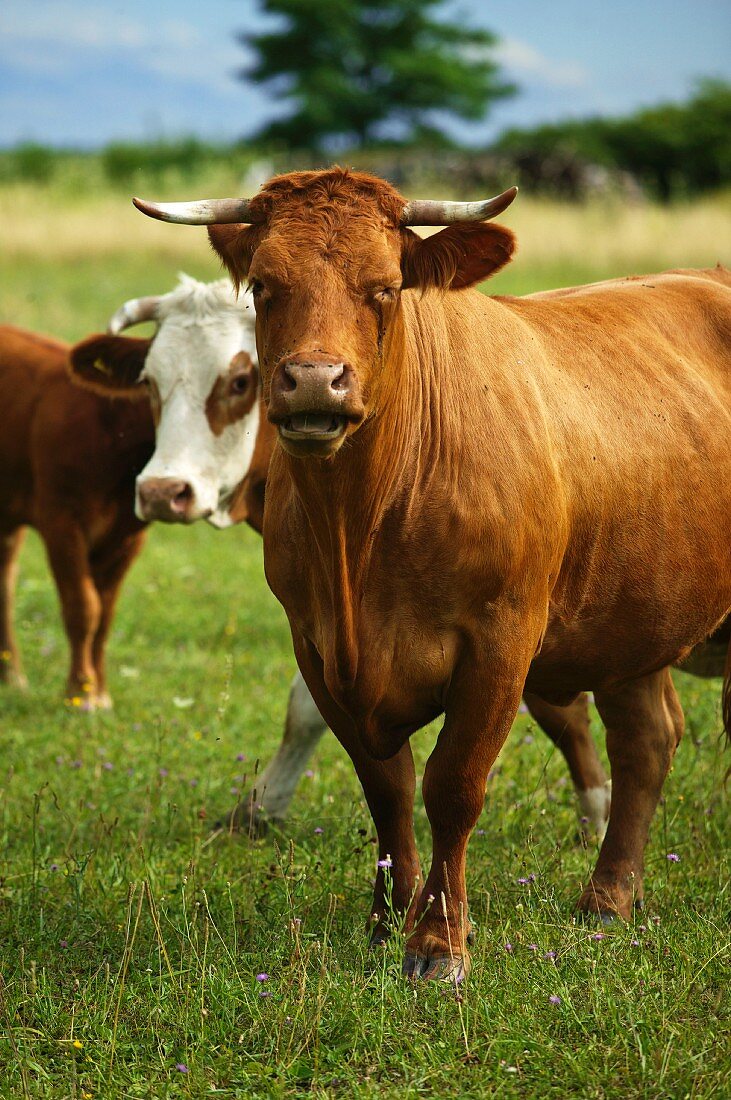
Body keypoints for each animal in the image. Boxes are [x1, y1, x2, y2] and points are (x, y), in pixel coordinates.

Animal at [136, 165, 729, 981]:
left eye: (385, 286)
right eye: (263, 285)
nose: (314, 381)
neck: (364, 528)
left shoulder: (502, 641)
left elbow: (453, 784)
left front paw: (438, 941)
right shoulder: (319, 644)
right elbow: (385, 786)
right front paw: (386, 919)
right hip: (632, 616)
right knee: (646, 741)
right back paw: (607, 898)